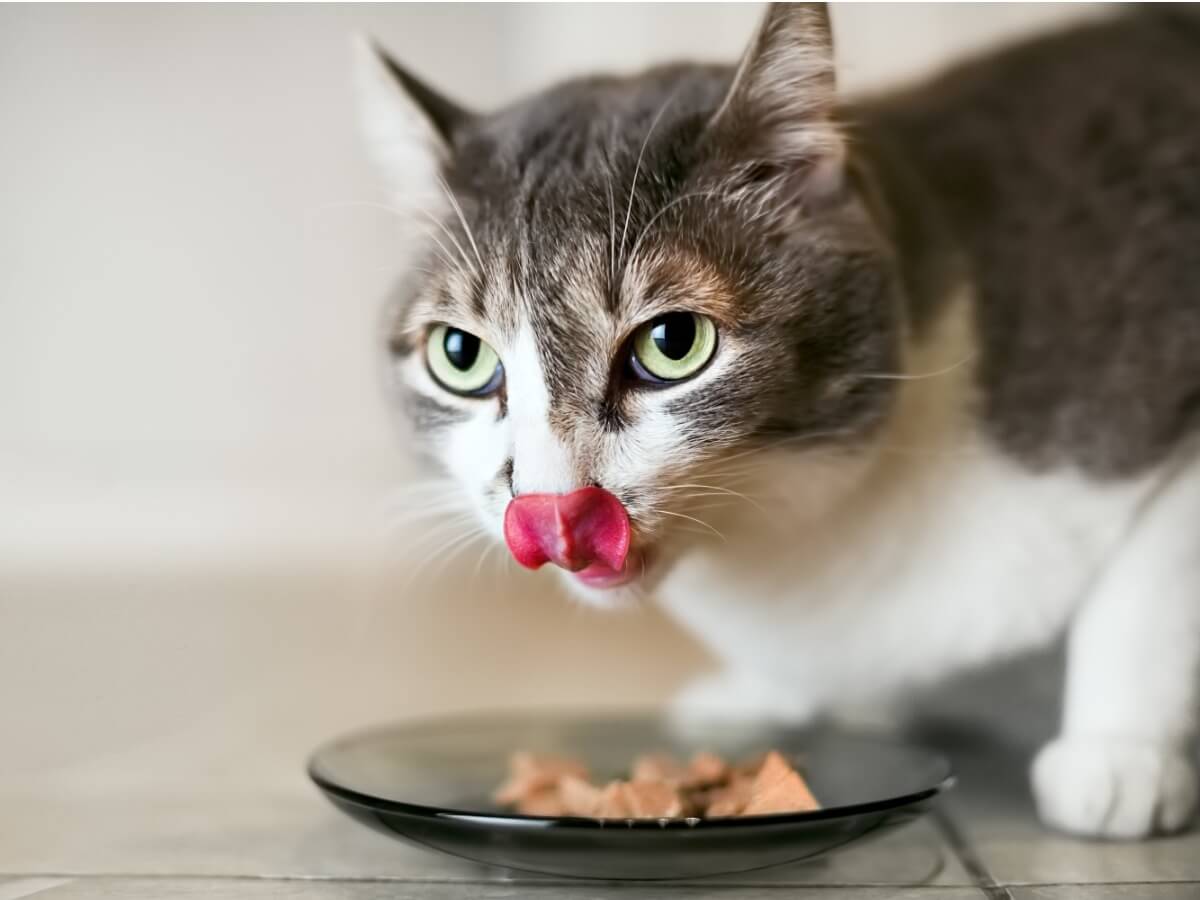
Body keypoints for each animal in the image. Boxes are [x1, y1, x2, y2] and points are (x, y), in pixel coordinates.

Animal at [352, 3, 1200, 844]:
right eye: (460, 355)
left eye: (673, 343)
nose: (551, 510)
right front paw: (762, 695)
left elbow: (1147, 590)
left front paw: (1117, 756)